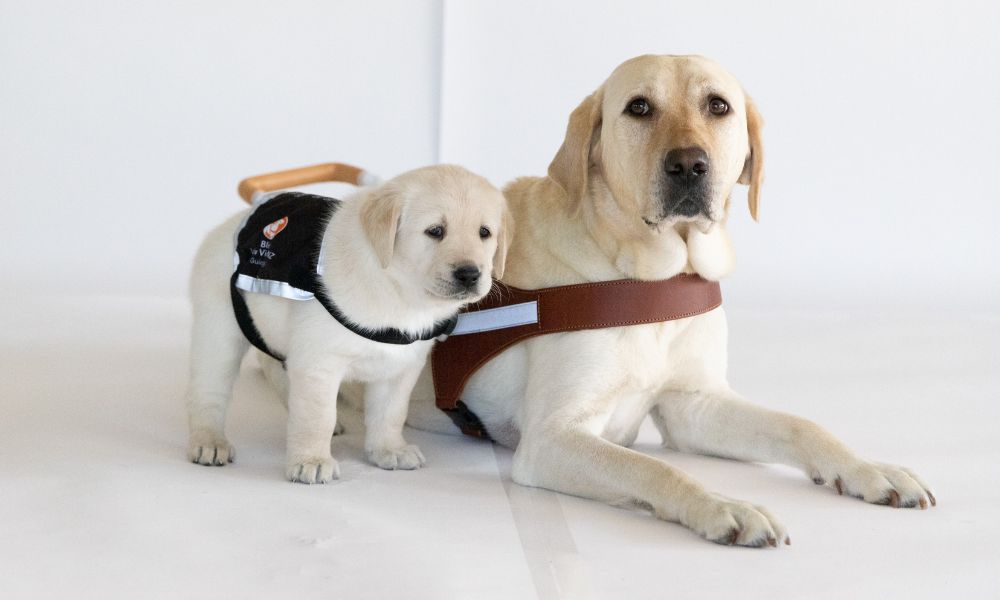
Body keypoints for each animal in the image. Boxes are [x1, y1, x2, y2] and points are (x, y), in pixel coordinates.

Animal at [185, 165, 510, 483]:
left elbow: (390, 413)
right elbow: (317, 416)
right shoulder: (319, 363)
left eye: (484, 233)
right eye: (435, 231)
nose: (469, 274)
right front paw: (311, 461)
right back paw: (209, 440)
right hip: (218, 330)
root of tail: (233, 223)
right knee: (208, 391)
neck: (398, 290)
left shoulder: (400, 366)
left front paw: (388, 450)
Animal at [379, 55, 935, 547]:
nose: (689, 164)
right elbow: (654, 468)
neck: (648, 280)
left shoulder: (693, 406)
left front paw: (867, 468)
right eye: (639, 107)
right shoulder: (552, 438)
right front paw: (721, 506)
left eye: (718, 105)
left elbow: (802, 426)